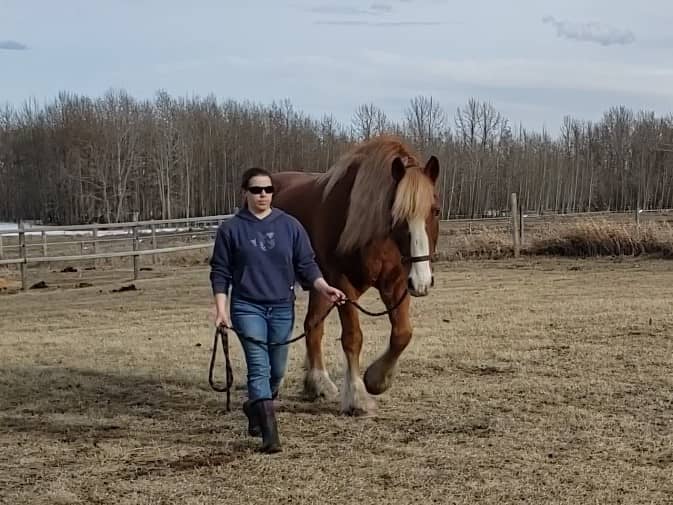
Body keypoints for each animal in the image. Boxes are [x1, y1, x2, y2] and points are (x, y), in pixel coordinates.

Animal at [270, 135, 441, 416]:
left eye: (435, 210)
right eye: (396, 214)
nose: (422, 281)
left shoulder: (396, 283)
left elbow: (402, 333)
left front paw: (377, 380)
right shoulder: (343, 284)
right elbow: (352, 337)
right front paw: (358, 397)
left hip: (320, 287)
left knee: (312, 327)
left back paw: (318, 383)